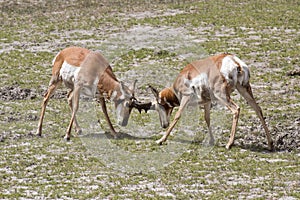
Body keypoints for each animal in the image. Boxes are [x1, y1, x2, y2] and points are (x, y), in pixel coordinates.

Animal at [146, 53, 274, 150]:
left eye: (157, 106)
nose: (163, 125)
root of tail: (234, 61)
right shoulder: (207, 102)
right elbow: (207, 118)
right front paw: (211, 141)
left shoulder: (186, 98)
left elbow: (178, 115)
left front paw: (161, 140)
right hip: (244, 89)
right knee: (258, 109)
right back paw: (270, 144)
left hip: (222, 95)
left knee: (236, 109)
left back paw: (229, 144)